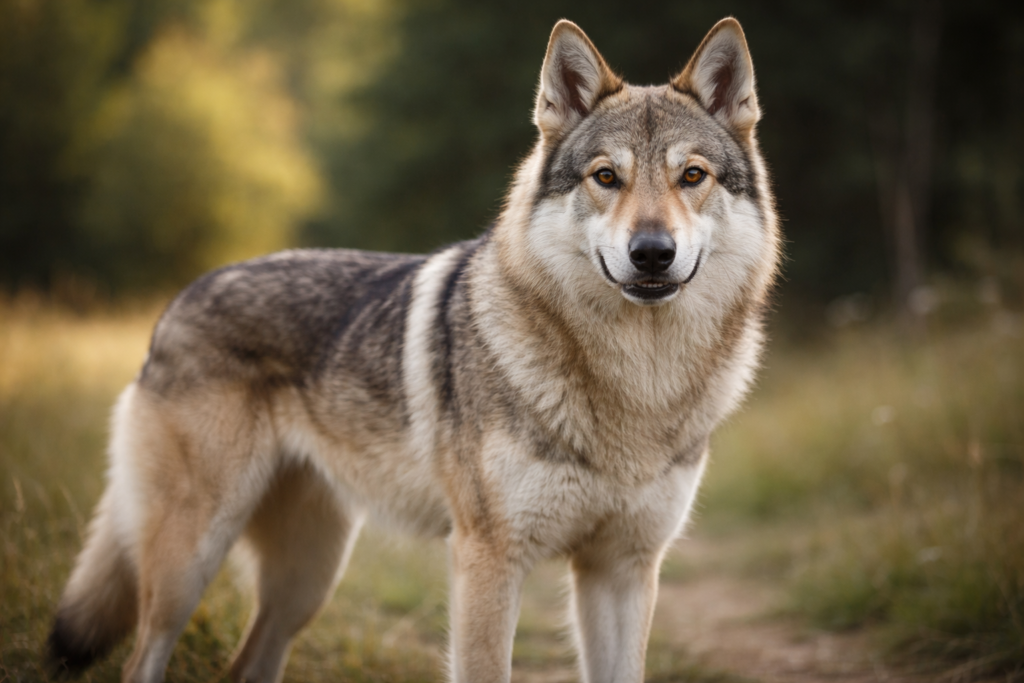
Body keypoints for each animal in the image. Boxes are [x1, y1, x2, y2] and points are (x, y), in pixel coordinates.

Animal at [49, 17, 780, 683]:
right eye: (606, 177)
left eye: (692, 176)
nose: (652, 252)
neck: (637, 384)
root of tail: (181, 298)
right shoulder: (487, 561)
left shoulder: (622, 571)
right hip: (192, 562)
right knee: (142, 656)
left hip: (307, 579)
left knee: (247, 665)